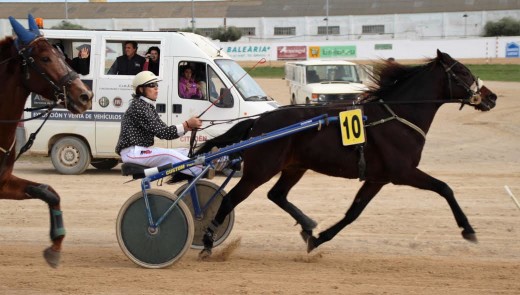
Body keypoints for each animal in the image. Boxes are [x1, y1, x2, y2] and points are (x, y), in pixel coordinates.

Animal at [0, 14, 92, 268]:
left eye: (61, 55)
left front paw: (56, 245)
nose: (85, 95)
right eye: (44, 58)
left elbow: (48, 191)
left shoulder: (3, 182)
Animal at [195, 49, 496, 258]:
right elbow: (445, 188)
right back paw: (207, 241)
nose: (491, 97)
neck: (397, 117)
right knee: (230, 199)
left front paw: (317, 238)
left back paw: (307, 224)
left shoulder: (377, 178)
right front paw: (468, 230)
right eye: (464, 72)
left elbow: (353, 212)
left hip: (294, 167)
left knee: (276, 194)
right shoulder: (403, 172)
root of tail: (259, 121)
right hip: (261, 170)